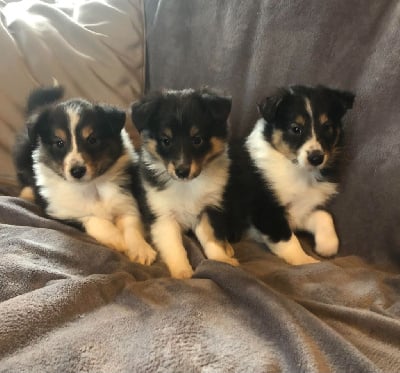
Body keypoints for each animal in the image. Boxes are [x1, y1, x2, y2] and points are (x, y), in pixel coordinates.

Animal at [13, 85, 156, 264]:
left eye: (92, 139)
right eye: (59, 143)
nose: (77, 171)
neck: (91, 186)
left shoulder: (126, 202)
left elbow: (132, 226)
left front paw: (141, 250)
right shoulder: (62, 212)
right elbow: (94, 219)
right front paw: (118, 239)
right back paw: (26, 193)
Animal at [130, 88, 238, 278]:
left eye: (197, 139)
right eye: (166, 140)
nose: (182, 171)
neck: (186, 185)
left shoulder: (209, 208)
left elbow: (212, 239)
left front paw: (222, 261)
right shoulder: (162, 215)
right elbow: (175, 247)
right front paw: (183, 273)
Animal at [227, 84, 354, 264]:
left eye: (327, 127)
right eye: (296, 129)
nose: (316, 158)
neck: (297, 169)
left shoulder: (299, 210)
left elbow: (324, 215)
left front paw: (327, 246)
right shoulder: (267, 211)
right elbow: (289, 241)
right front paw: (308, 262)